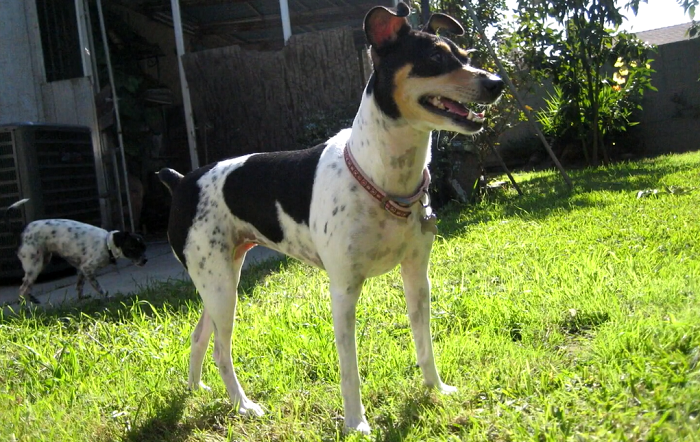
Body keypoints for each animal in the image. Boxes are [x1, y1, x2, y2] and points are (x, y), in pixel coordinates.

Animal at [5, 198, 148, 304]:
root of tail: (22, 231)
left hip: (42, 260)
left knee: (25, 285)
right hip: (34, 265)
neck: (107, 244)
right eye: (132, 247)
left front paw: (81, 300)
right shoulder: (87, 268)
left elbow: (79, 285)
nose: (145, 260)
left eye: (144, 247)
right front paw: (107, 297)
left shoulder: (81, 269)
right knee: (22, 289)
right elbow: (98, 287)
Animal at [159, 1, 504, 434]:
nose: (497, 83)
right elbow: (349, 369)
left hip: (220, 279)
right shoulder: (343, 291)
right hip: (221, 287)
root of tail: (181, 182)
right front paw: (356, 423)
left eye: (466, 56)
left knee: (199, 335)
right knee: (222, 350)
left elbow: (424, 344)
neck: (381, 178)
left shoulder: (416, 277)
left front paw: (436, 389)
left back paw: (195, 388)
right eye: (436, 59)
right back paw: (244, 405)